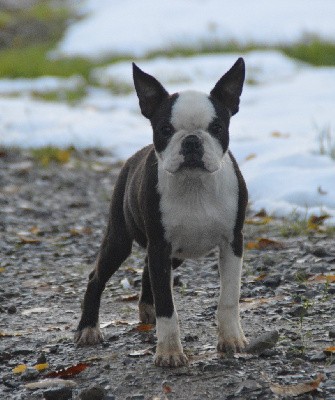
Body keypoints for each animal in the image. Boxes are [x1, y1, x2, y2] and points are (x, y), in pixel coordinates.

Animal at [76, 57, 249, 368]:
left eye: (217, 128)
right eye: (166, 130)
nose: (191, 141)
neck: (194, 186)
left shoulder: (233, 242)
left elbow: (228, 297)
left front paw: (231, 339)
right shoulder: (160, 245)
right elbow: (167, 306)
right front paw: (169, 352)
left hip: (174, 254)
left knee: (146, 267)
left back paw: (147, 308)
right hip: (120, 239)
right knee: (97, 277)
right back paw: (88, 329)